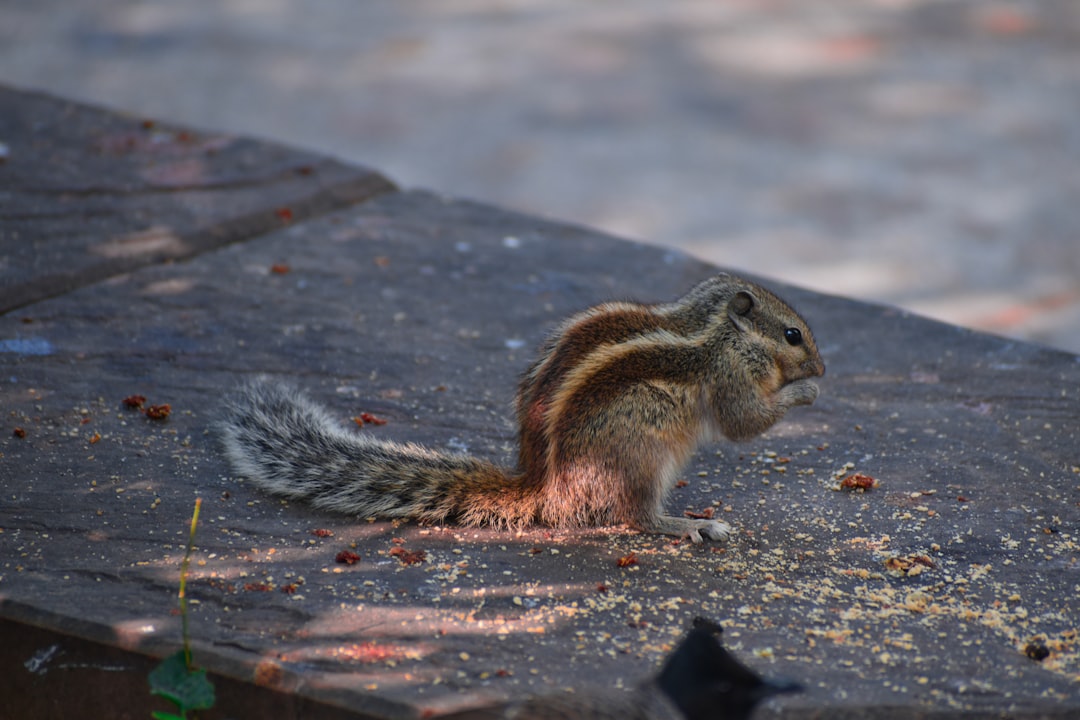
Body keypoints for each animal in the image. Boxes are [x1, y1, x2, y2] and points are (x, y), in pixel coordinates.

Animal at [221, 273, 825, 544]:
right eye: (793, 334)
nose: (821, 368)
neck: (716, 327)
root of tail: (544, 486)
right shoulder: (728, 374)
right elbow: (744, 422)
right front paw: (804, 394)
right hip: (639, 449)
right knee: (636, 516)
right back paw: (689, 525)